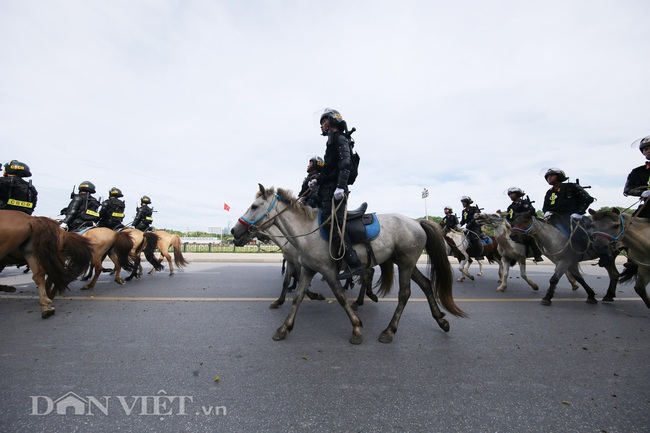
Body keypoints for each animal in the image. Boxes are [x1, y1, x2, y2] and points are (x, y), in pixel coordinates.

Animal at [230, 184, 464, 342]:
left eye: (254, 206)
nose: (234, 230)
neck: (306, 232)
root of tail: (416, 221)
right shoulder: (307, 268)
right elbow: (297, 297)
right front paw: (284, 327)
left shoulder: (327, 270)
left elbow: (340, 297)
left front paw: (357, 328)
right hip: (406, 262)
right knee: (426, 284)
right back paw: (441, 320)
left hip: (405, 263)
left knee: (404, 293)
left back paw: (388, 330)